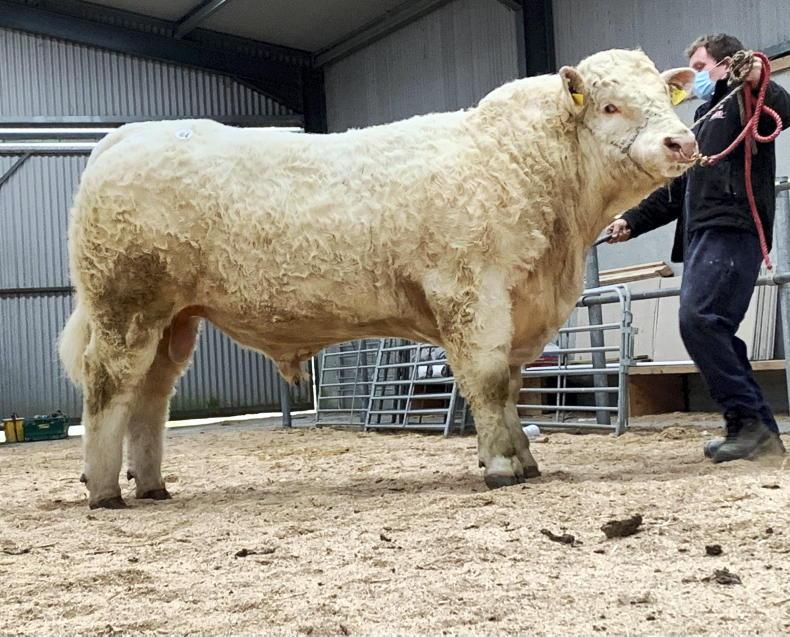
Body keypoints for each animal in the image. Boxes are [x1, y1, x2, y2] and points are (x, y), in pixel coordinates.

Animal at [59, 49, 697, 508]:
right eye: (610, 106)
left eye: (664, 95)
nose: (683, 140)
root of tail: (129, 134)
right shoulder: (472, 293)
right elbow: (489, 382)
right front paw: (500, 468)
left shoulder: (518, 307)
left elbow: (512, 387)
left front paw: (523, 459)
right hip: (126, 305)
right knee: (109, 386)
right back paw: (105, 491)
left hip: (173, 319)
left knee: (151, 395)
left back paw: (151, 485)